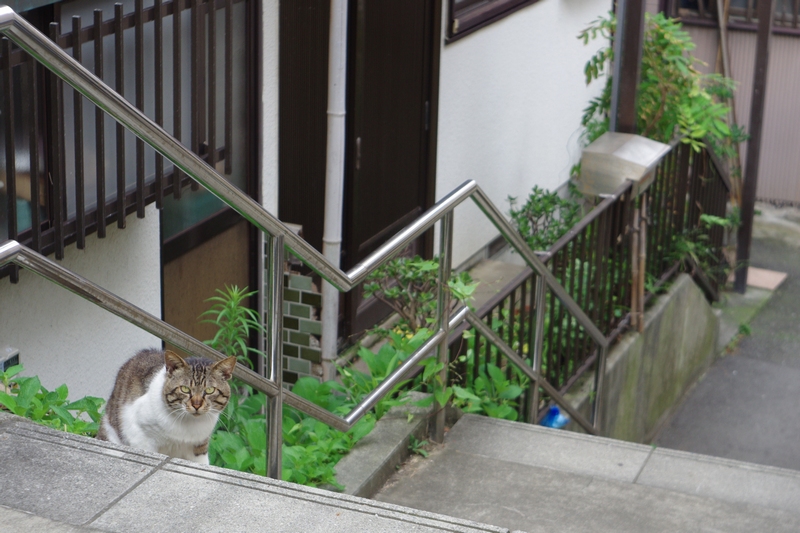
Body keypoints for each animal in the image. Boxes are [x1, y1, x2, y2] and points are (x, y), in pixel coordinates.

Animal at [96, 348, 237, 464]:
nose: (196, 404)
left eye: (209, 390)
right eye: (185, 389)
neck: (188, 424)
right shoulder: (140, 437)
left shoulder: (199, 447)